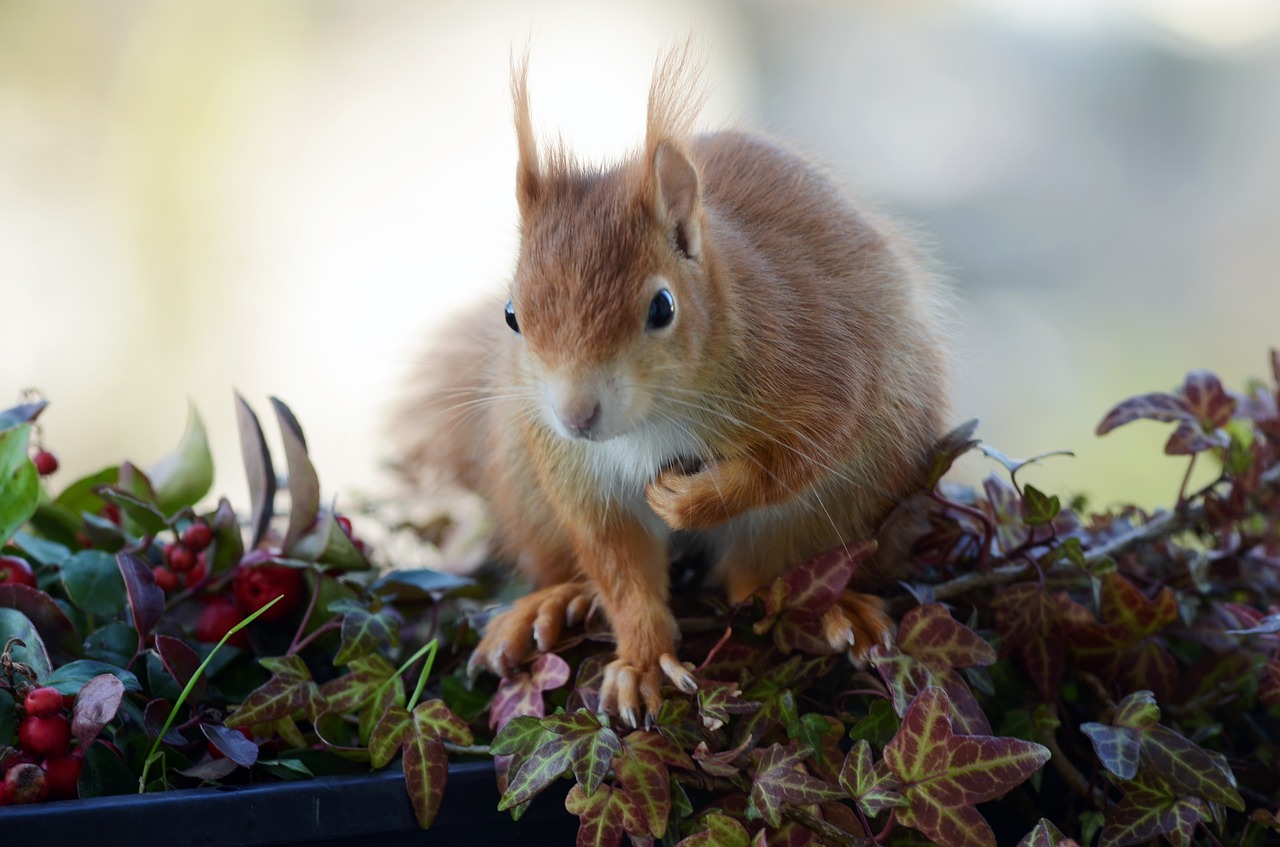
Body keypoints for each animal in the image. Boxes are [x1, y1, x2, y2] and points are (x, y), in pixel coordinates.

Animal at [396, 46, 952, 726]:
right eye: (511, 315)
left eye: (662, 308)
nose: (576, 415)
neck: (651, 422)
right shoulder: (580, 475)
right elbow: (619, 563)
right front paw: (640, 661)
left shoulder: (821, 365)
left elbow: (793, 459)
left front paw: (688, 501)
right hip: (525, 481)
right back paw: (548, 605)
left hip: (855, 496)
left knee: (767, 580)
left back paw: (829, 609)